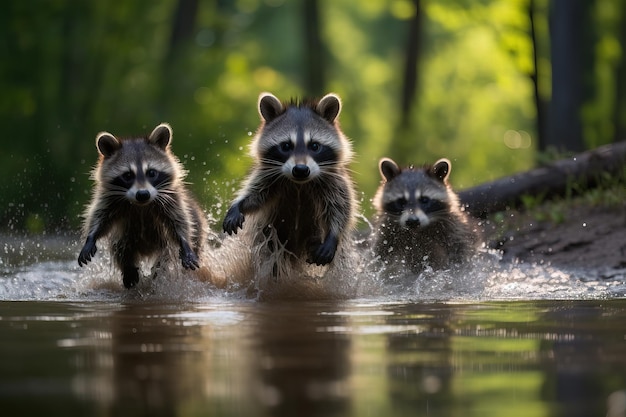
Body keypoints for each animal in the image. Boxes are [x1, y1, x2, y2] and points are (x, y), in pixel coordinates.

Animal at [77, 122, 206, 288]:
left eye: (151, 172)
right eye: (127, 175)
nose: (143, 194)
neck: (141, 206)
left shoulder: (170, 198)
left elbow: (178, 220)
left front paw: (185, 242)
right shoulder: (110, 199)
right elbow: (100, 216)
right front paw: (91, 236)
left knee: (167, 256)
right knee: (120, 247)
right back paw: (129, 271)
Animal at [222, 90, 356, 274]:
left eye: (314, 146)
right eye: (286, 146)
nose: (300, 170)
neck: (299, 184)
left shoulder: (334, 179)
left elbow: (341, 206)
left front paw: (334, 233)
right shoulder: (269, 175)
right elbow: (257, 194)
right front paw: (239, 204)